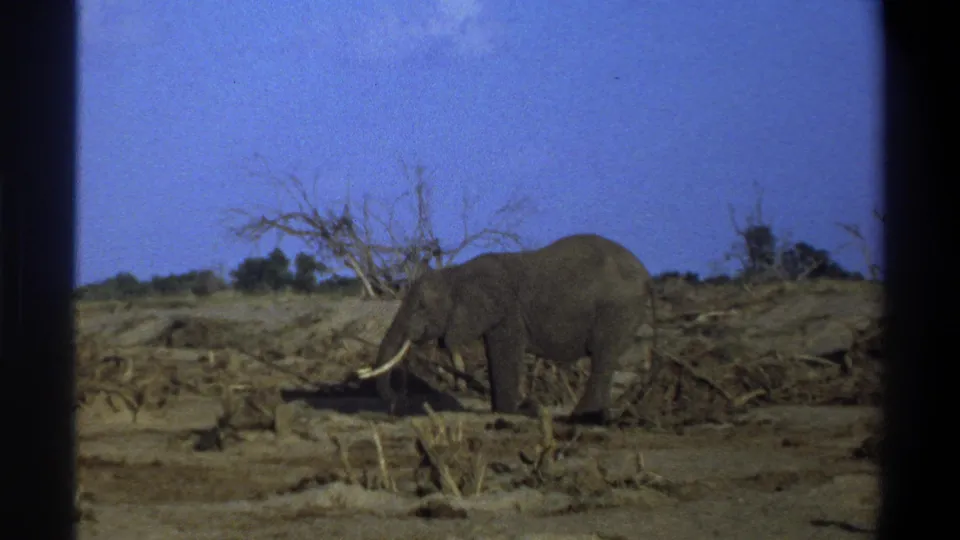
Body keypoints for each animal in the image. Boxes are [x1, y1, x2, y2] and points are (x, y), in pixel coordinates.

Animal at [354, 233, 658, 425]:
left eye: (421, 307)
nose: (398, 405)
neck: (457, 274)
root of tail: (646, 276)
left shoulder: (508, 311)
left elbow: (505, 352)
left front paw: (512, 411)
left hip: (616, 308)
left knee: (603, 356)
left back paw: (583, 417)